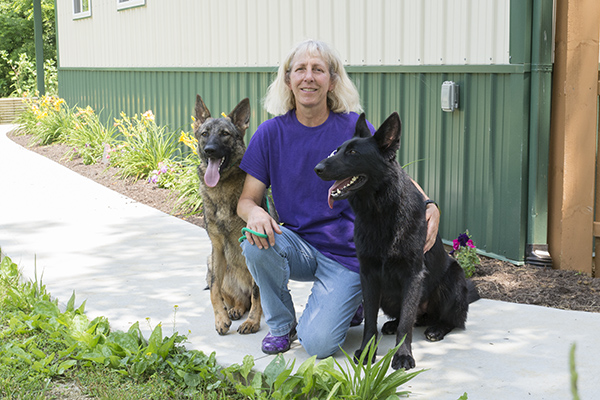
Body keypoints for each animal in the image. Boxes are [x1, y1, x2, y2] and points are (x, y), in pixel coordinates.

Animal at [195, 96, 262, 334]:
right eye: (204, 133)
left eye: (225, 134)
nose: (210, 150)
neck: (222, 188)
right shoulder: (216, 247)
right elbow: (214, 289)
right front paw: (220, 319)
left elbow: (258, 292)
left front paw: (253, 322)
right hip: (210, 262)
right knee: (236, 298)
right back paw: (234, 310)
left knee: (253, 296)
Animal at [314, 111, 478, 368]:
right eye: (337, 150)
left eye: (353, 153)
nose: (317, 168)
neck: (380, 213)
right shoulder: (369, 276)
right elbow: (370, 321)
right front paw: (367, 350)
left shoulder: (412, 275)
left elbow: (406, 325)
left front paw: (402, 355)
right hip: (388, 297)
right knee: (411, 317)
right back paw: (393, 324)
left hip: (452, 281)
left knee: (448, 319)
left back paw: (437, 328)